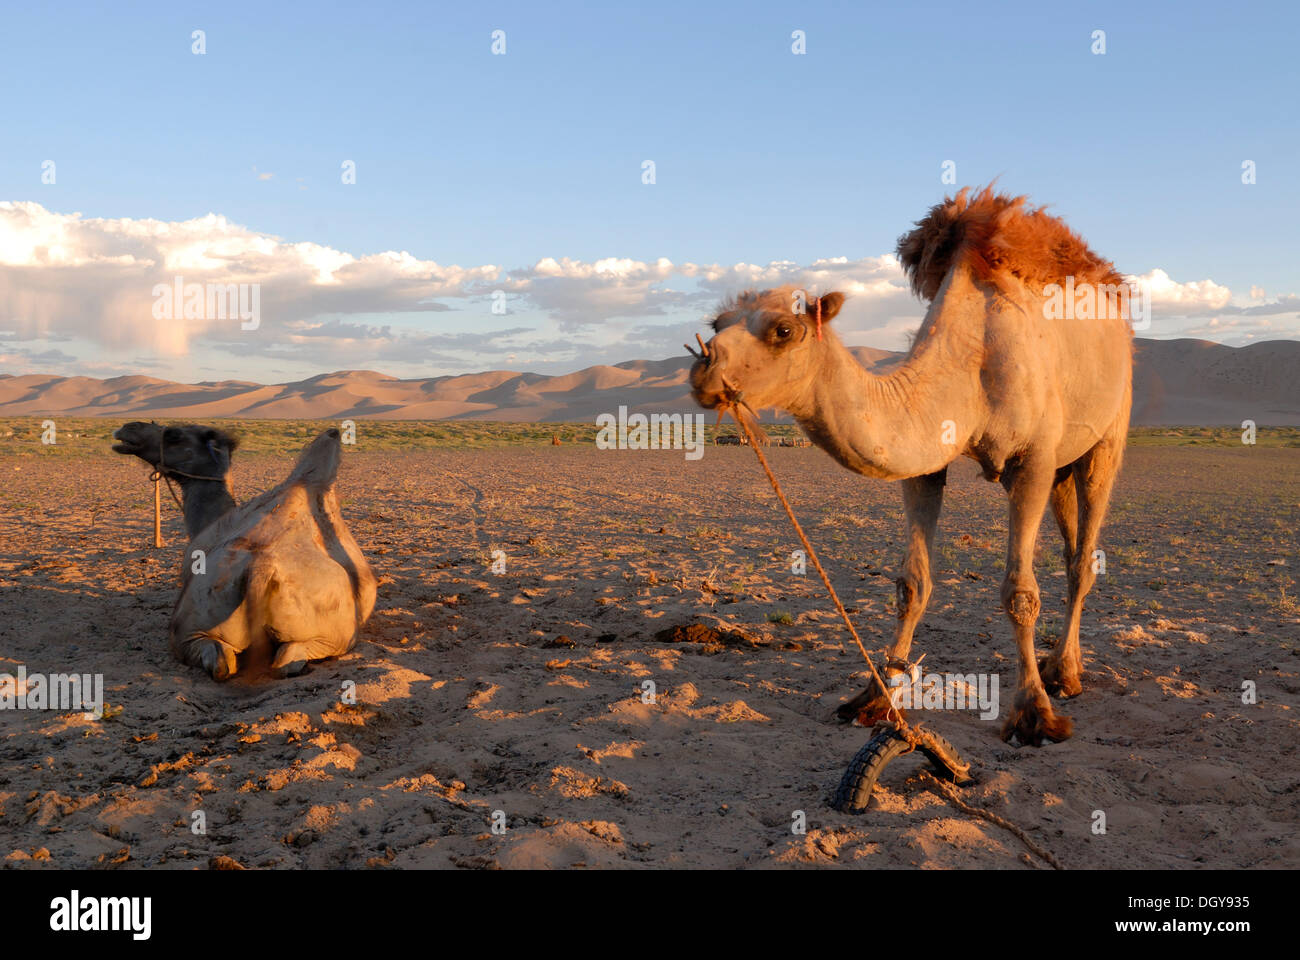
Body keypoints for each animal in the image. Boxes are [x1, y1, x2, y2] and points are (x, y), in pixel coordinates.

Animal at [696, 184, 1133, 738]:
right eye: (717, 322)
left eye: (783, 330)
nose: (703, 366)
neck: (971, 366)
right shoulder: (927, 465)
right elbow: (913, 583)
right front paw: (874, 698)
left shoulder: (1032, 460)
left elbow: (1019, 593)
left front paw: (1033, 711)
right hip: (1062, 465)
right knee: (1073, 544)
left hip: (1108, 434)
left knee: (1083, 558)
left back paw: (1065, 674)